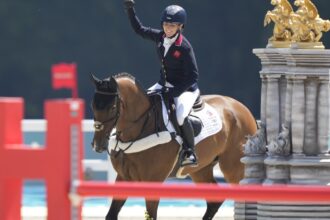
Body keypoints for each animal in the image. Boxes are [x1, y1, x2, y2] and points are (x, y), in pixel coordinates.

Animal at [90, 73, 258, 219]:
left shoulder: (153, 181)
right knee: (214, 201)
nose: (97, 145)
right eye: (93, 106)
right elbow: (111, 215)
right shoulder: (124, 178)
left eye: (112, 108)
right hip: (200, 170)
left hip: (233, 169)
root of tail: (242, 108)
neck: (140, 129)